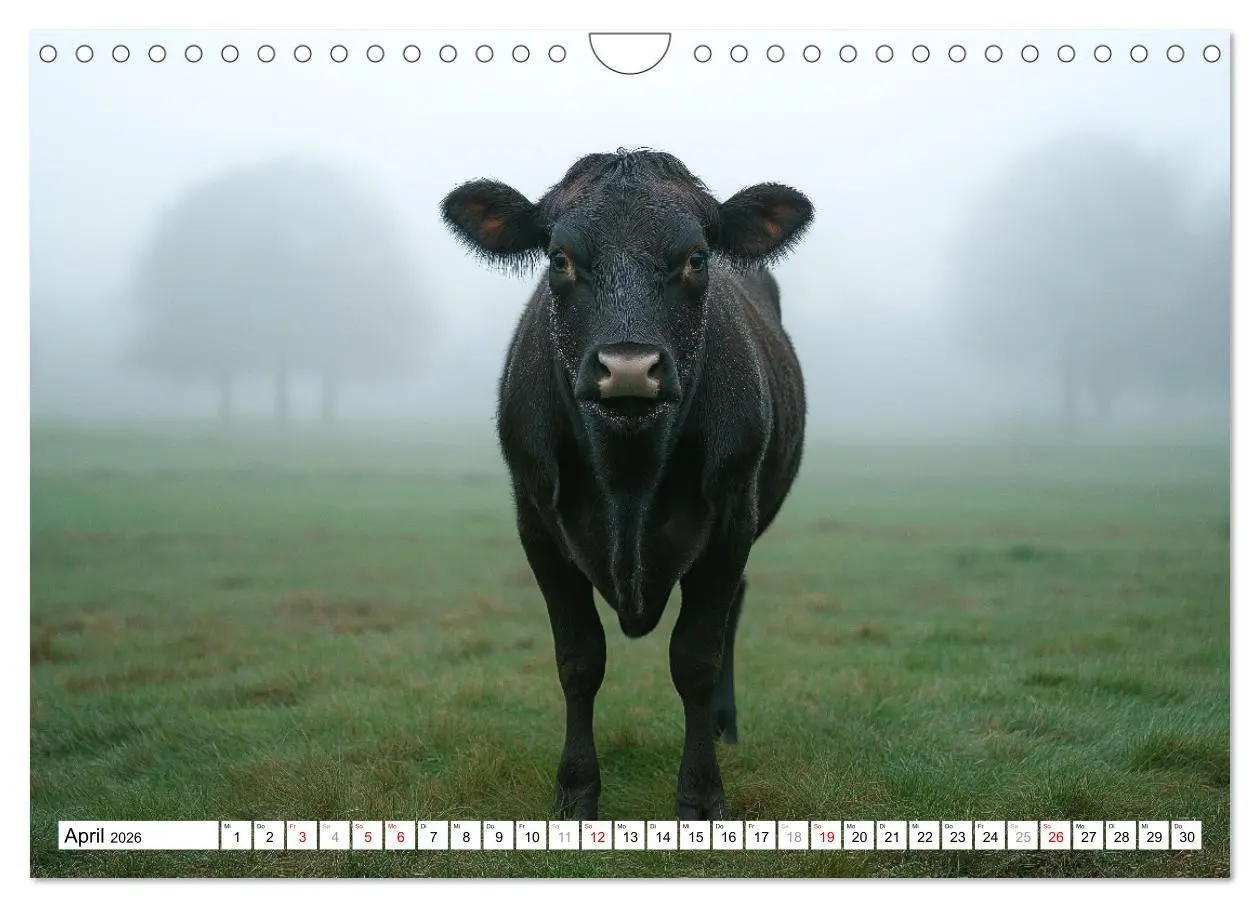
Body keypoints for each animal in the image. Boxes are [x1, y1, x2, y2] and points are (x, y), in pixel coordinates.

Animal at [440, 149, 813, 820]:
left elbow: (695, 656)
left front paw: (701, 795)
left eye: (696, 258)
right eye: (559, 258)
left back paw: (724, 724)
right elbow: (579, 658)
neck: (628, 473)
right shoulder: (536, 521)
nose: (630, 367)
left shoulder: (731, 517)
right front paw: (575, 791)